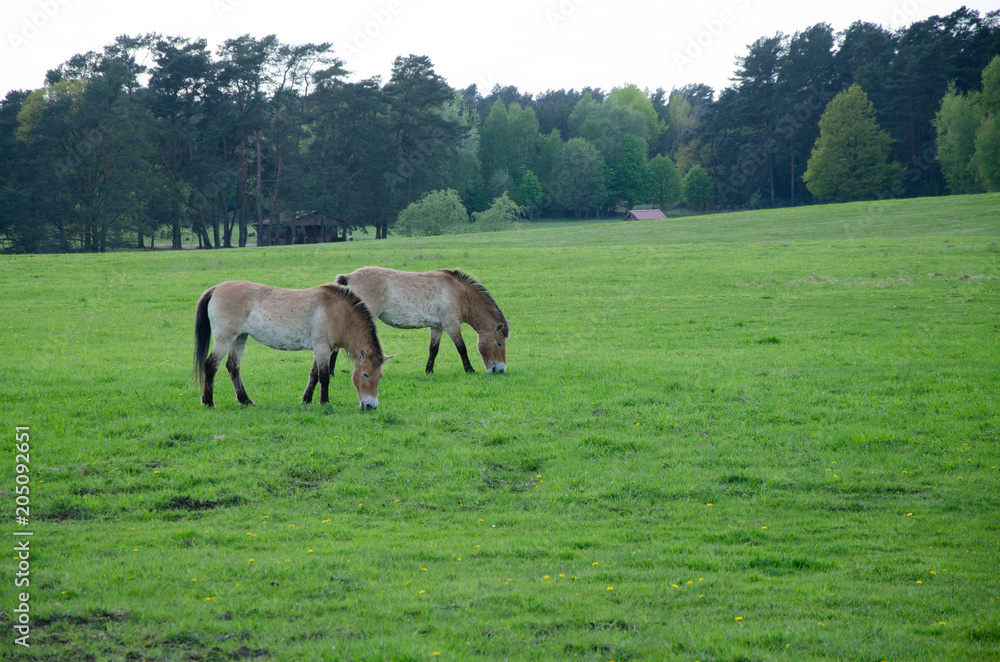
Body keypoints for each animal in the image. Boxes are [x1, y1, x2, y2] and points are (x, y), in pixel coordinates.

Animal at [193, 282, 388, 410]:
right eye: (365, 374)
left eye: (380, 376)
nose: (371, 406)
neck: (337, 312)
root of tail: (216, 289)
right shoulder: (322, 348)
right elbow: (324, 376)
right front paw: (324, 403)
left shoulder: (320, 350)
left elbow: (314, 375)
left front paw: (307, 400)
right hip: (225, 339)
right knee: (211, 365)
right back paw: (209, 402)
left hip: (240, 338)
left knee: (233, 367)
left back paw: (245, 400)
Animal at [334, 268, 508, 376]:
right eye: (499, 343)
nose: (501, 370)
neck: (459, 292)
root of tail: (348, 277)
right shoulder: (452, 325)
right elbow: (462, 348)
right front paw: (470, 370)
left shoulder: (437, 328)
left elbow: (433, 350)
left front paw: (429, 371)